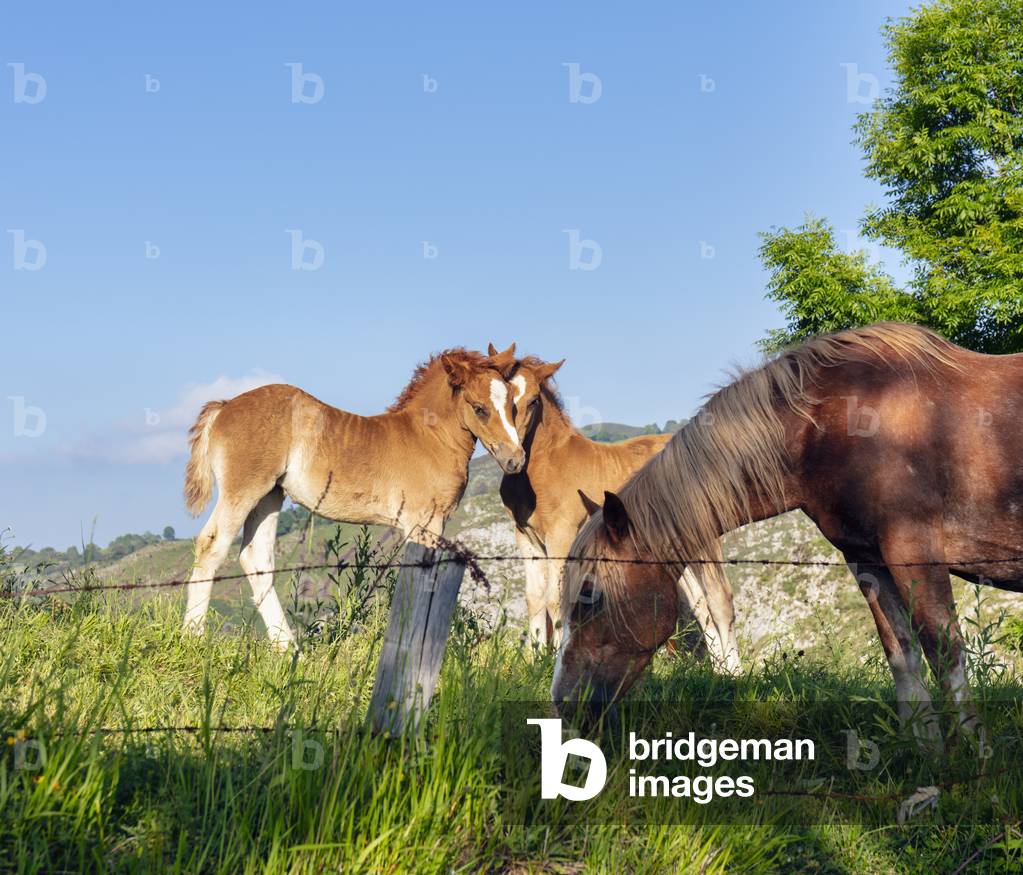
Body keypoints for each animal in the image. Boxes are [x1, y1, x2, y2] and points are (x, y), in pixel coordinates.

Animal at [182, 345, 526, 649]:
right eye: (479, 408)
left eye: (513, 404)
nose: (516, 459)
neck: (427, 438)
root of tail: (224, 406)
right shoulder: (424, 523)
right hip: (243, 489)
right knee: (211, 546)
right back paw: (193, 639)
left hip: (269, 496)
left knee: (256, 559)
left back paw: (289, 650)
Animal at [490, 345, 740, 672]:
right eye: (505, 400)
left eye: (533, 400)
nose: (514, 457)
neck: (545, 468)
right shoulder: (526, 538)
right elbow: (535, 599)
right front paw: (534, 660)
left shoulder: (562, 535)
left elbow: (555, 598)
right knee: (701, 604)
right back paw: (719, 669)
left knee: (719, 597)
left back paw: (733, 672)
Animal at [553, 323, 1023, 735]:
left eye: (590, 597)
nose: (562, 702)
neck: (838, 423)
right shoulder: (867, 559)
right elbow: (902, 654)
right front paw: (925, 749)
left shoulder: (915, 552)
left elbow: (945, 653)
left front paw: (971, 756)